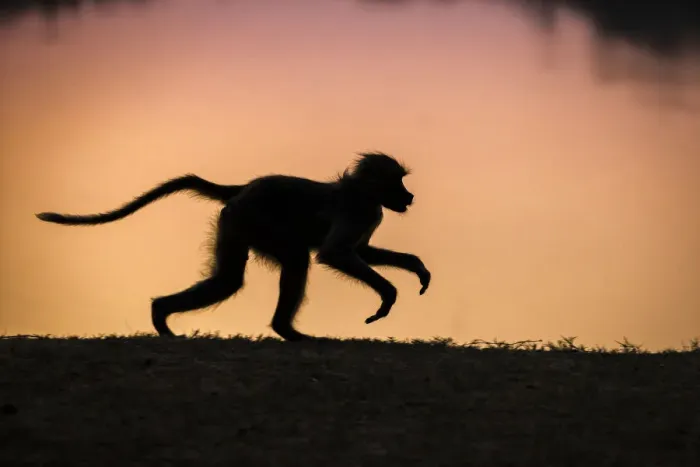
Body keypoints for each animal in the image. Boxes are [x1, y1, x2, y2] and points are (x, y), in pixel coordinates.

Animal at [36, 151, 431, 341]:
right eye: (398, 182)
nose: (410, 197)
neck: (364, 192)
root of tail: (243, 188)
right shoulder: (358, 211)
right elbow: (334, 253)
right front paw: (388, 296)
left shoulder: (369, 216)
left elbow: (359, 252)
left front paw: (416, 268)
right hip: (253, 221)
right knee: (295, 260)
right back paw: (287, 331)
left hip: (236, 225)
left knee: (227, 280)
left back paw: (160, 314)